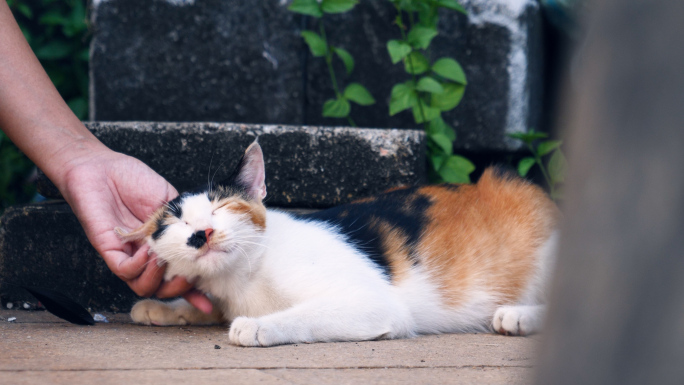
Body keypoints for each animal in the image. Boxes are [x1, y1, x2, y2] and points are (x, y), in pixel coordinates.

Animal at [116, 140, 556, 346]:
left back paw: (518, 316)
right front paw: (164, 307)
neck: (243, 279)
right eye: (176, 223)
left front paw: (258, 325)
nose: (201, 232)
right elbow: (207, 307)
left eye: (221, 205)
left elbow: (305, 314)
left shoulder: (374, 303)